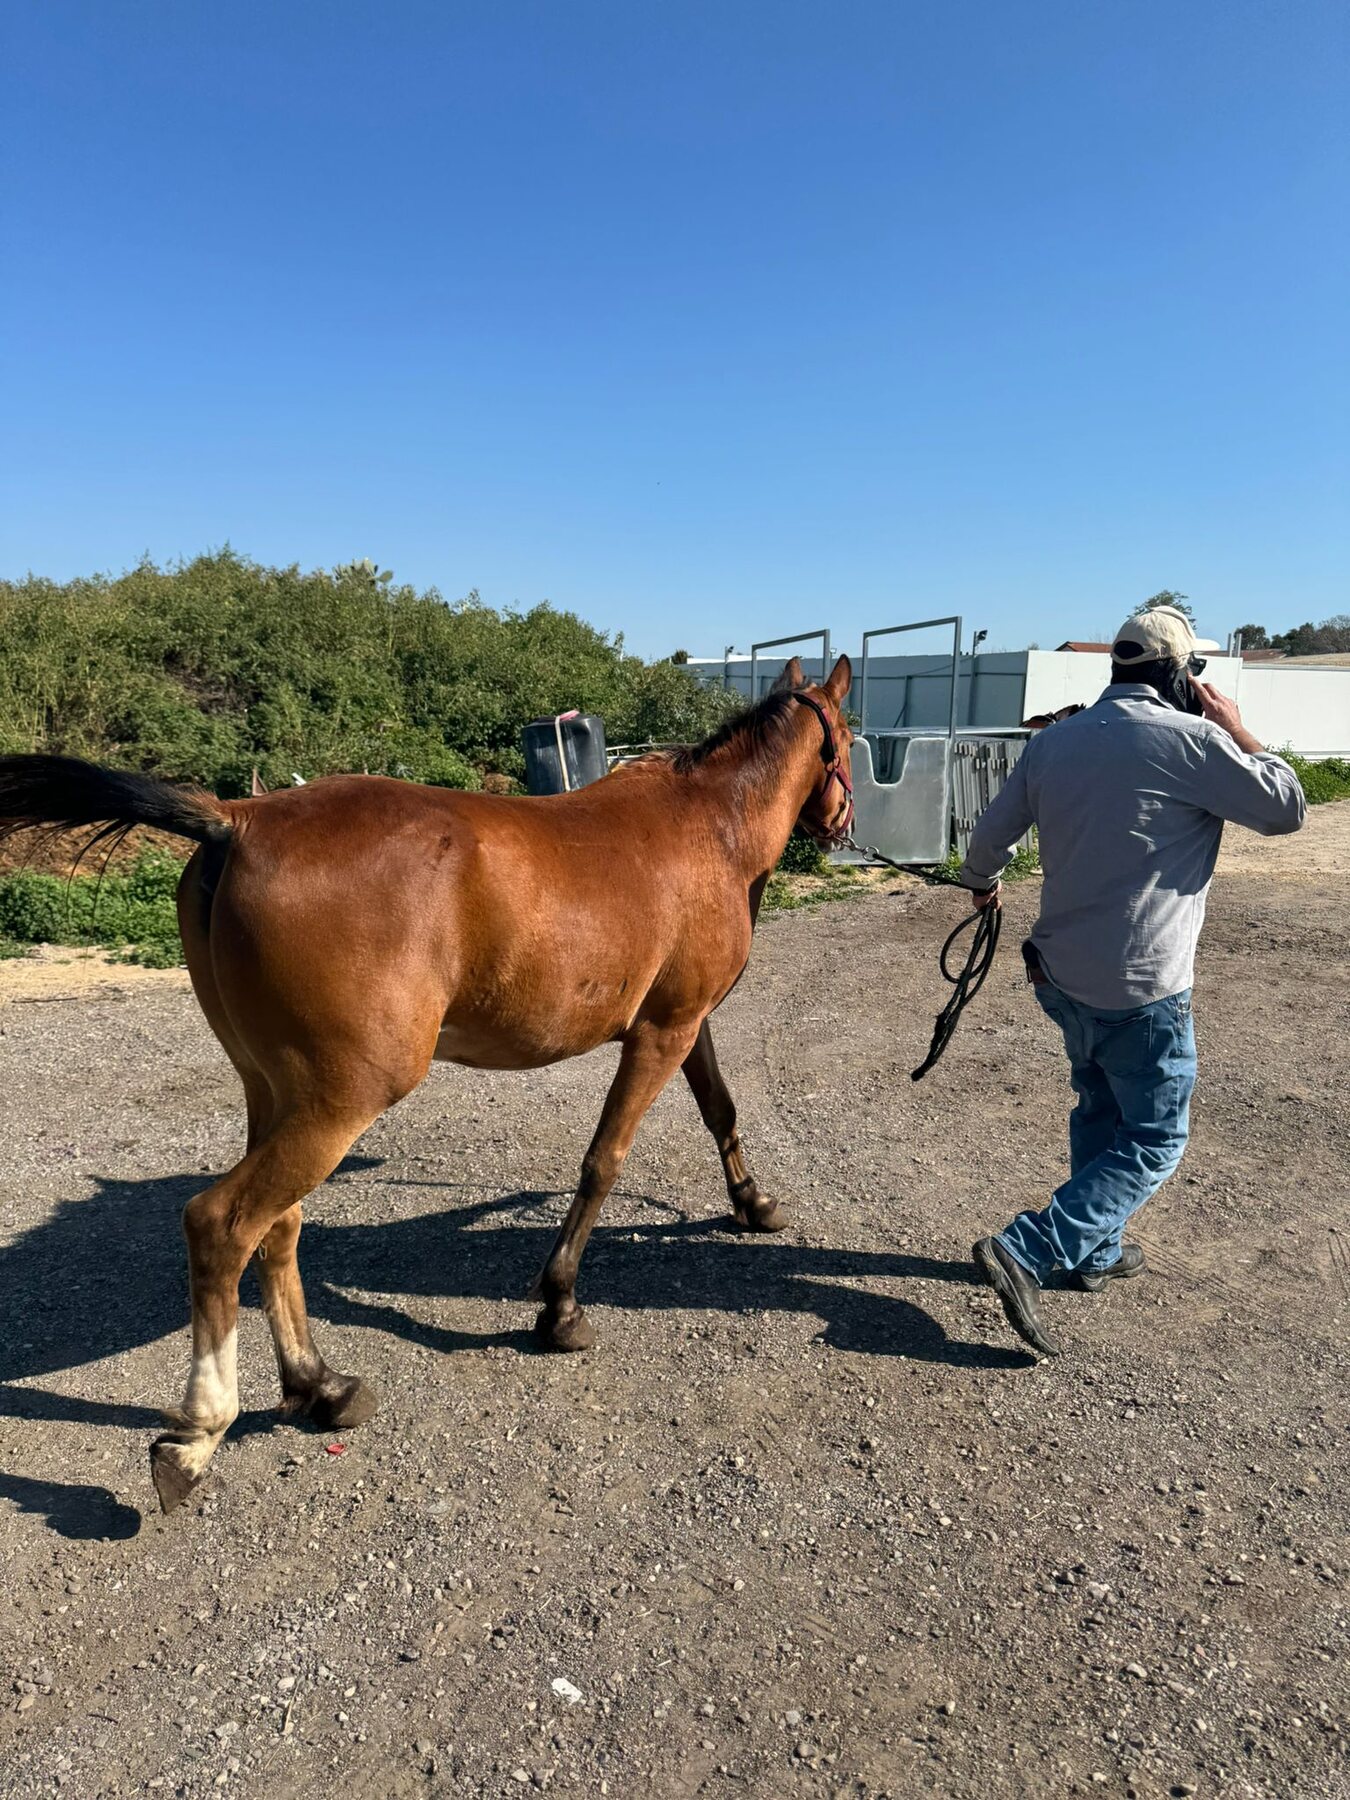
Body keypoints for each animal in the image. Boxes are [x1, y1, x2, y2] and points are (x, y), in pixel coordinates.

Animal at [0, 654, 854, 1514]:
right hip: (343, 1098)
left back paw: (319, 1385)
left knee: (280, 1226)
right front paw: (560, 1304)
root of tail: (238, 819)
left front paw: (754, 1204)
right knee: (223, 1224)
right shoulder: (661, 1033)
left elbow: (720, 1109)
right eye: (849, 742)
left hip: (276, 1094)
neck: (707, 824)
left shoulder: (685, 1024)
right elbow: (603, 1164)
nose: (843, 824)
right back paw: (198, 1435)